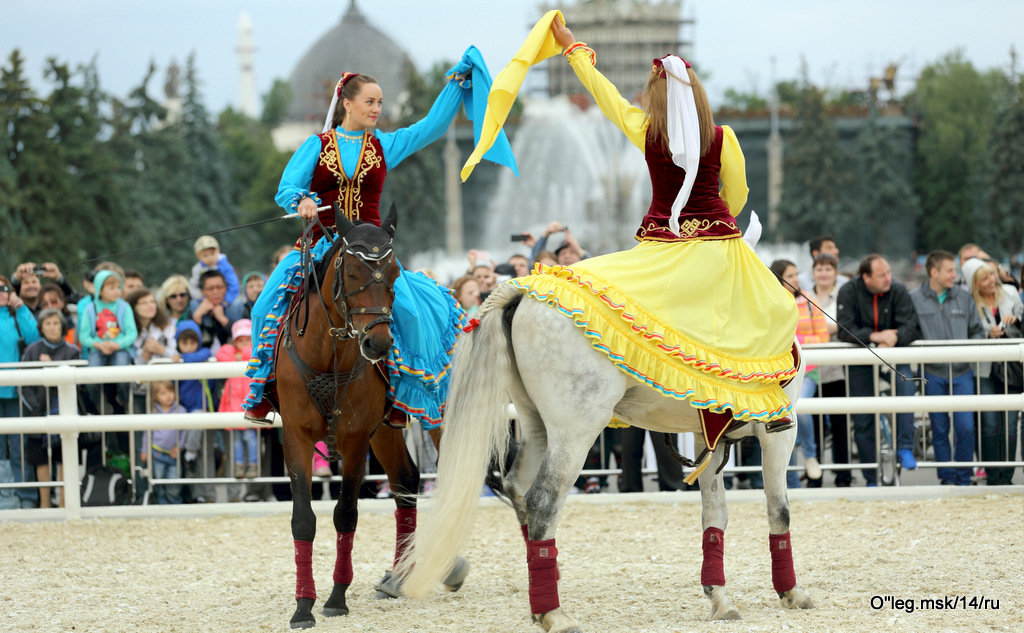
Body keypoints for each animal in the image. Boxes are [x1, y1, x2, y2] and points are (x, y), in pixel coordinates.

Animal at [268, 206, 468, 626]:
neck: (327, 355)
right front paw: (303, 606)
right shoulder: (296, 436)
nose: (378, 343)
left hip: (438, 415)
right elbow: (303, 519)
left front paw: (336, 599)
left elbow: (346, 514)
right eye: (353, 273)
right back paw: (398, 576)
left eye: (393, 274)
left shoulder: (355, 439)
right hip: (387, 430)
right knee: (406, 479)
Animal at [399, 282, 815, 630]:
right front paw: (791, 592)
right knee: (542, 500)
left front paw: (719, 598)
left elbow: (715, 516)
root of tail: (522, 291)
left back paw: (541, 590)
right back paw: (554, 613)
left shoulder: (707, 436)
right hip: (575, 432)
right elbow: (779, 509)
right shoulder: (781, 432)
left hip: (536, 425)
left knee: (517, 487)